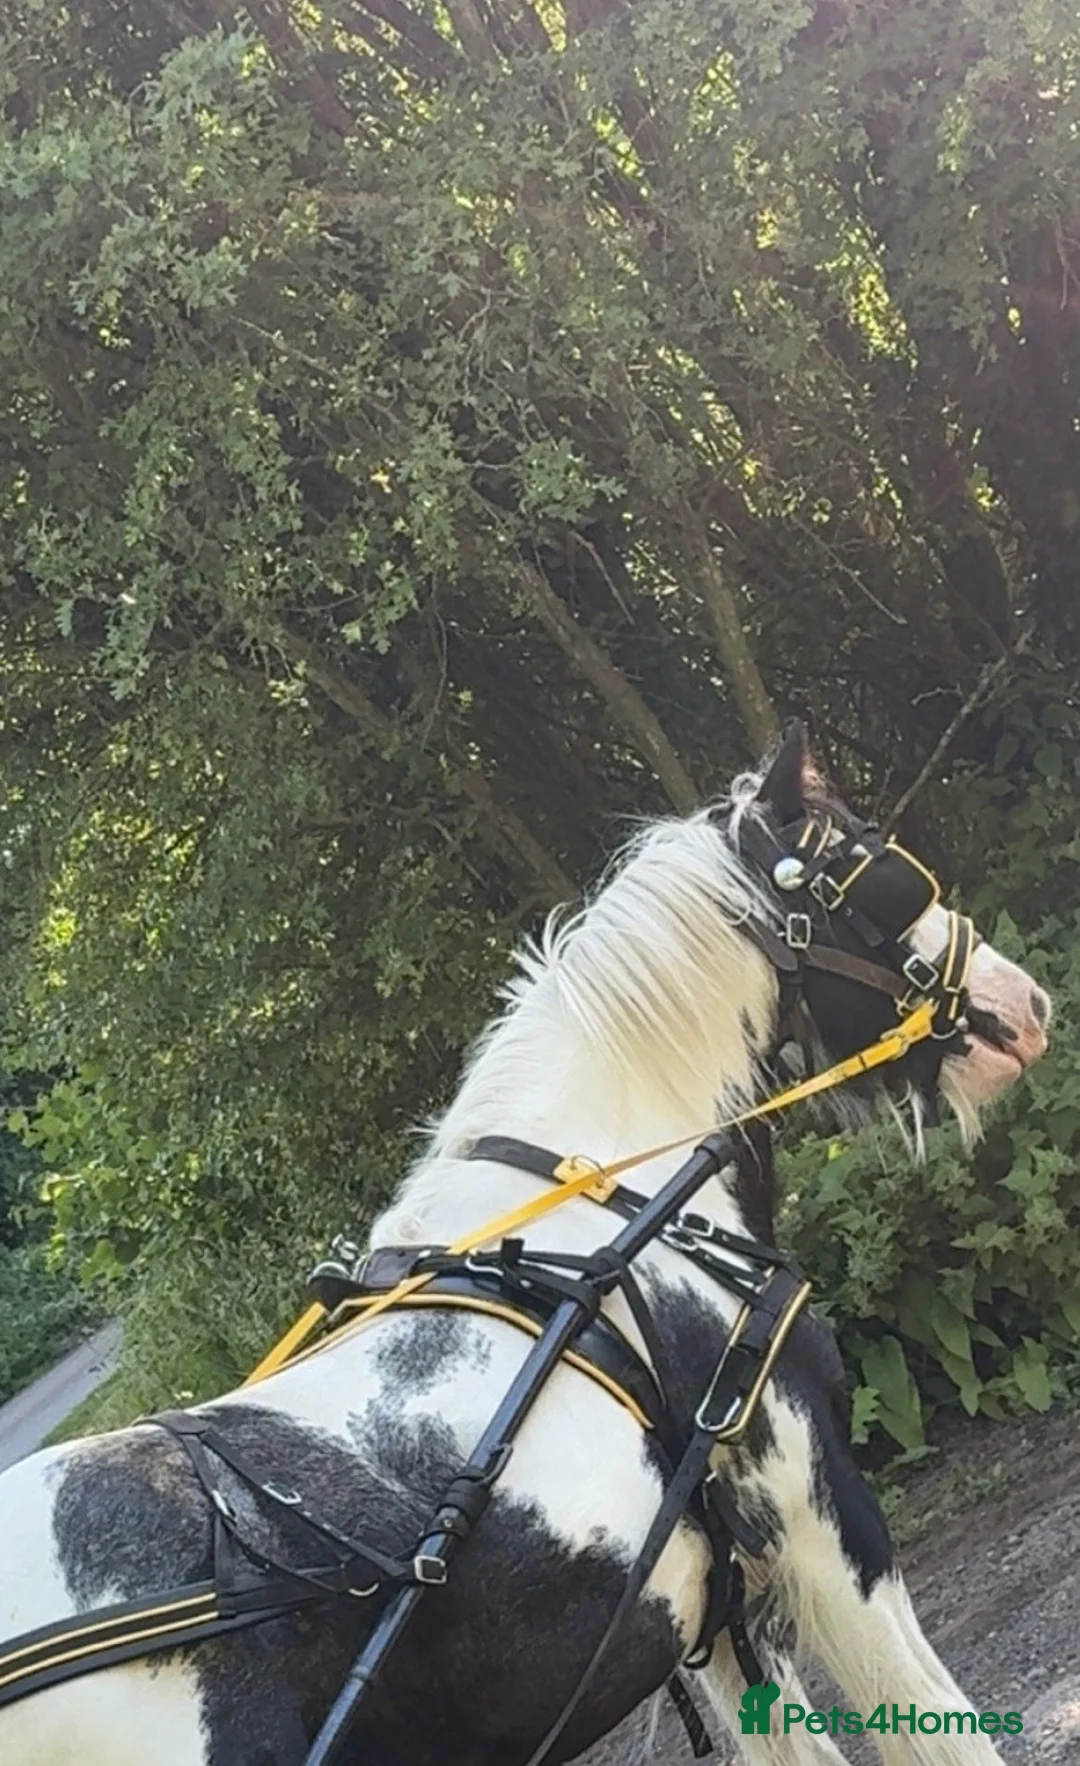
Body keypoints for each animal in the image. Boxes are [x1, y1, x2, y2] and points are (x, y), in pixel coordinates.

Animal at [0, 722, 1050, 1766]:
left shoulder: (706, 1606)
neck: (615, 1198)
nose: (1027, 1004)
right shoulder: (820, 1525)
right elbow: (938, 1722)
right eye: (873, 873)